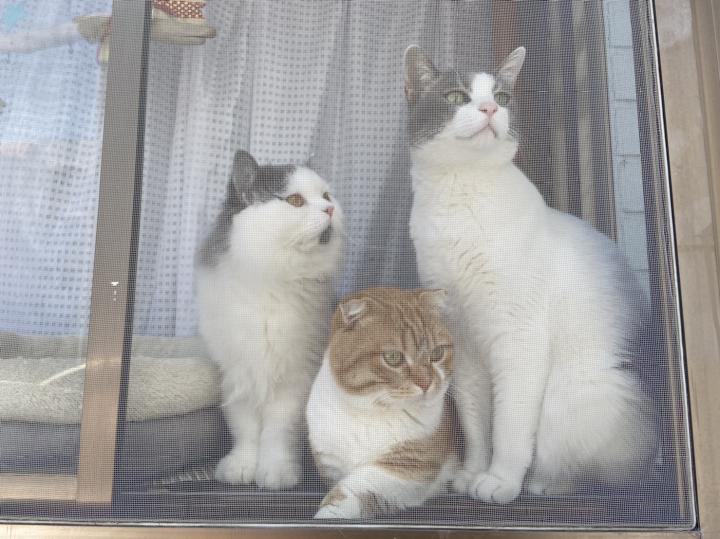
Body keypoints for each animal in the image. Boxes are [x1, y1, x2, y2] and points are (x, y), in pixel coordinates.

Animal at [195, 149, 344, 489]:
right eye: (296, 201)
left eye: (326, 196)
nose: (329, 209)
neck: (272, 282)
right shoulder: (238, 375)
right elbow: (245, 431)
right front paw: (241, 468)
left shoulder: (294, 378)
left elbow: (278, 433)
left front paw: (276, 472)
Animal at [306, 287, 458, 519]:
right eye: (393, 357)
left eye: (437, 353)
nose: (426, 382)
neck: (367, 412)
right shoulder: (330, 462)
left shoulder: (408, 466)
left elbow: (353, 489)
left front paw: (327, 516)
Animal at [403, 45, 657, 504]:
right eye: (455, 96)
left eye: (502, 97)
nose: (489, 108)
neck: (459, 195)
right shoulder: (464, 348)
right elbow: (476, 423)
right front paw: (473, 472)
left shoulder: (518, 340)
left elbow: (510, 424)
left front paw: (500, 481)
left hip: (569, 393)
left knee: (605, 476)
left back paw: (542, 483)